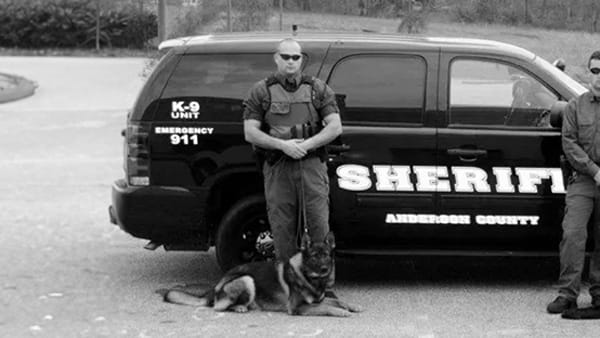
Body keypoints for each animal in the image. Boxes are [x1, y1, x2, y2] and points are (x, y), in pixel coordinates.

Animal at [162, 231, 364, 316]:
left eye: (326, 256)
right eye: (315, 256)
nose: (324, 269)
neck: (308, 276)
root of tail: (216, 286)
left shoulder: (317, 300)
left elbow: (336, 301)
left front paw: (352, 306)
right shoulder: (298, 308)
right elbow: (329, 308)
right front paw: (342, 312)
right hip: (247, 279)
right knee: (218, 307)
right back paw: (238, 307)